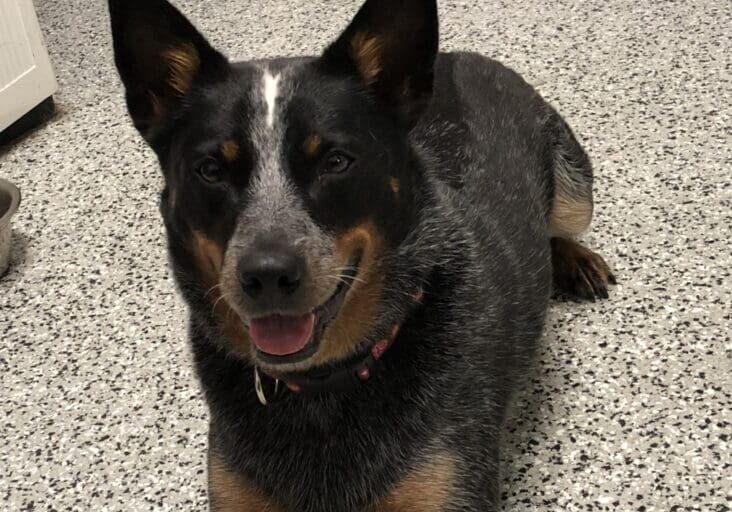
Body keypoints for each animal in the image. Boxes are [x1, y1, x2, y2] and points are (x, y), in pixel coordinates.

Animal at [107, 0, 612, 508]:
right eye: (210, 169)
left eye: (335, 162)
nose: (267, 275)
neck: (322, 385)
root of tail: (464, 55)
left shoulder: (448, 485)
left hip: (574, 188)